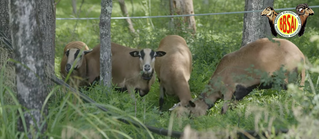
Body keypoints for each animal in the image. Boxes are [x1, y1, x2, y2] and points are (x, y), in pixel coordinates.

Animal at [180, 38, 308, 116]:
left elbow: (223, 110)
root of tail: (300, 55)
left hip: (289, 80)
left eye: (190, 112)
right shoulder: (239, 93)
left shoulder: (229, 90)